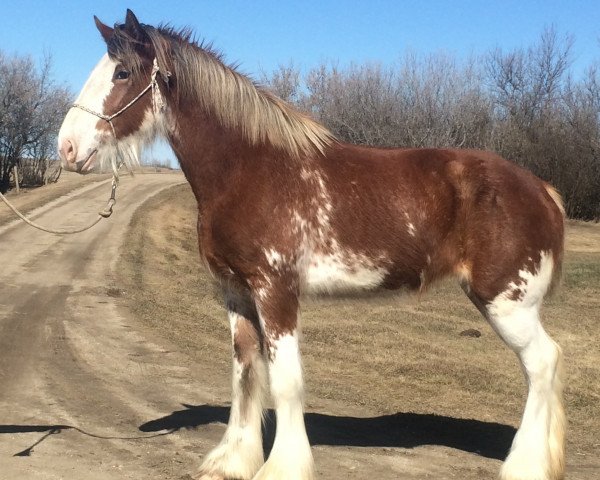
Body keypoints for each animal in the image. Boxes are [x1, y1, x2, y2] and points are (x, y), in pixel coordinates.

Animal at [57, 10, 568, 480]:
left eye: (122, 73)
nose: (66, 148)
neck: (249, 169)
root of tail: (543, 190)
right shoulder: (236, 293)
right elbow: (245, 375)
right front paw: (231, 461)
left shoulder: (276, 291)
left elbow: (285, 382)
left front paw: (282, 467)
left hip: (507, 302)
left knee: (542, 363)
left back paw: (525, 466)